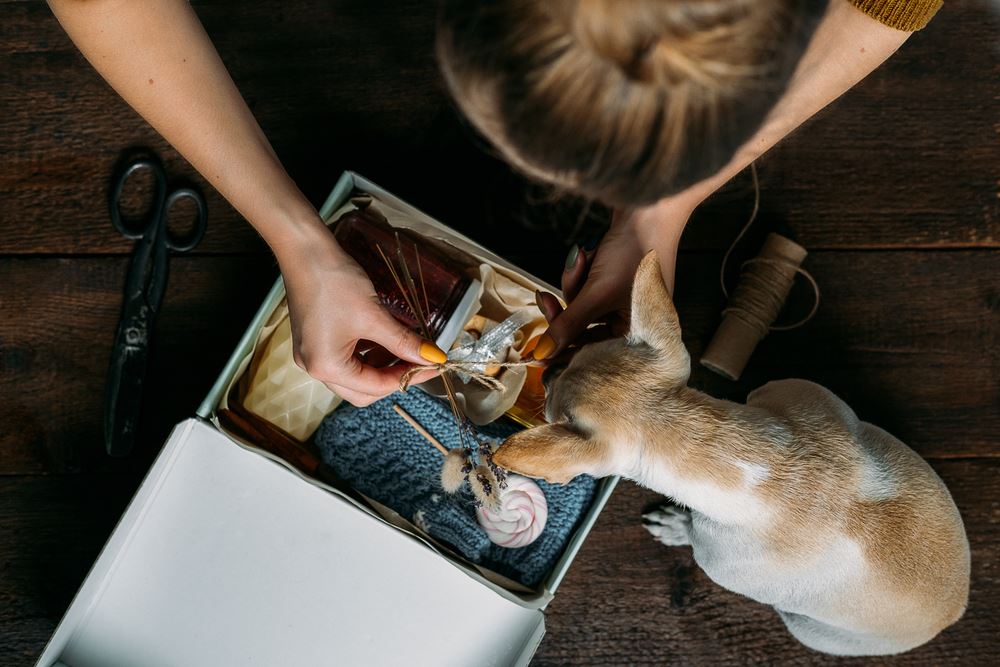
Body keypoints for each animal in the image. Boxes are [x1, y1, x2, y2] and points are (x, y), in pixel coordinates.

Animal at [492, 252, 968, 656]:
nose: (548, 370)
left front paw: (676, 525)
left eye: (553, 403)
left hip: (809, 626)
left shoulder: (718, 556)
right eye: (579, 351)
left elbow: (694, 529)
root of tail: (954, 610)